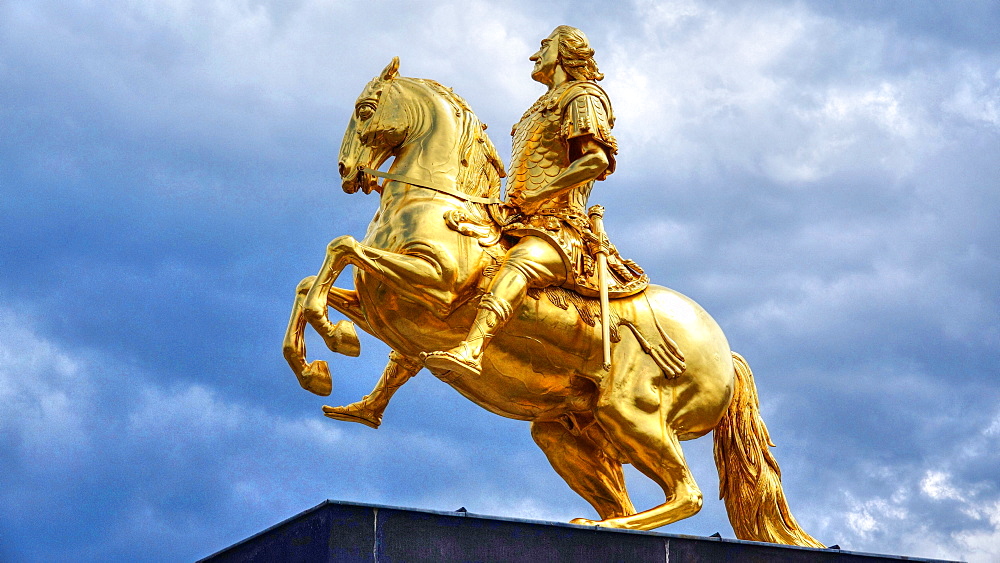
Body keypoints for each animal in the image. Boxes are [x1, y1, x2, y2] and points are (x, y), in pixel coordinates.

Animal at [280, 58, 820, 548]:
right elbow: (311, 284)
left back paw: (605, 527)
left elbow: (340, 247)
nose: (347, 172)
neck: (440, 204)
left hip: (633, 413)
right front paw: (319, 367)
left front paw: (337, 339)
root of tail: (725, 352)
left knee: (687, 493)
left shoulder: (436, 285)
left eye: (365, 110)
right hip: (568, 433)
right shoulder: (386, 307)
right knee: (628, 496)